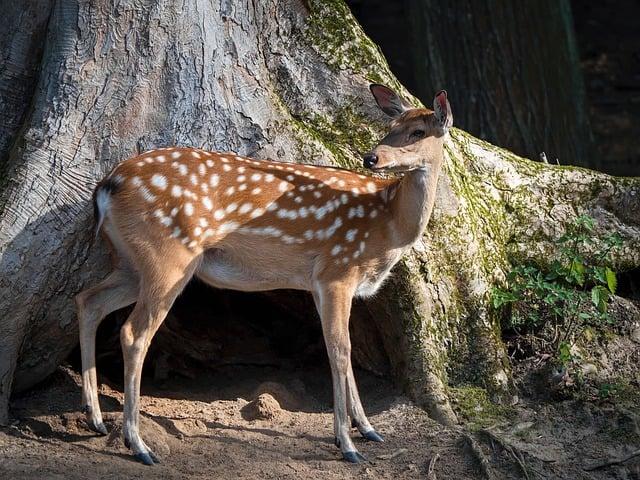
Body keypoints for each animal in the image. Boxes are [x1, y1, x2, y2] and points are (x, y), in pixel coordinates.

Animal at [77, 83, 452, 464]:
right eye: (391, 127)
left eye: (418, 131)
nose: (371, 157)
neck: (388, 225)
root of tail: (107, 185)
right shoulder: (337, 269)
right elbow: (339, 349)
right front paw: (347, 443)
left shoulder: (319, 282)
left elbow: (340, 349)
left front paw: (368, 429)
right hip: (168, 257)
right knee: (133, 332)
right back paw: (138, 443)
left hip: (130, 262)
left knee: (89, 300)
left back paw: (96, 419)